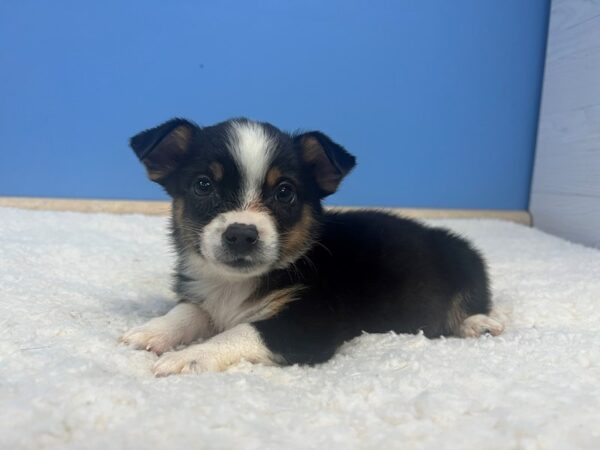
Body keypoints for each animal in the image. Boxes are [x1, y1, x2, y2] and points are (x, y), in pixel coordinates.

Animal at [120, 117, 502, 376]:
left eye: (284, 192)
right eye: (203, 185)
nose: (241, 234)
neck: (233, 285)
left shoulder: (306, 325)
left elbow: (242, 331)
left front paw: (189, 356)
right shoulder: (205, 300)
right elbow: (187, 312)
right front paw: (151, 331)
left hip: (467, 261)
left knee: (471, 304)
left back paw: (477, 324)